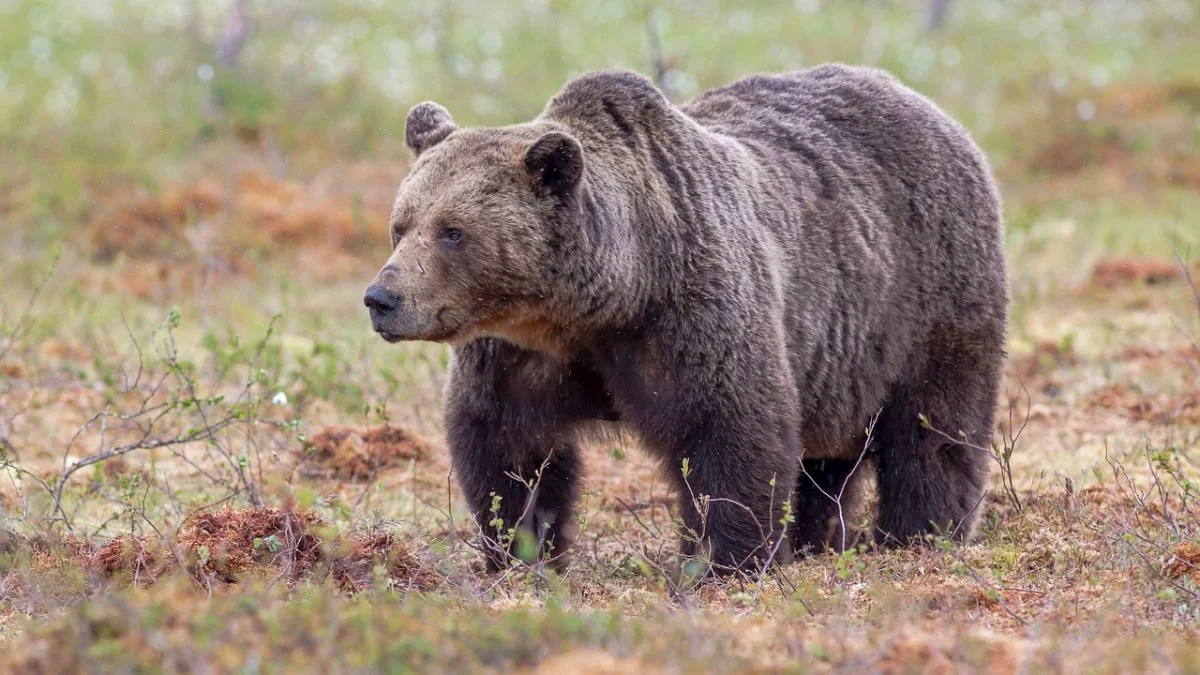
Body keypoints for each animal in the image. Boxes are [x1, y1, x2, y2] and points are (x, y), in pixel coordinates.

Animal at [362, 63, 1003, 571]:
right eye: (401, 224)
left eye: (452, 232)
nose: (381, 298)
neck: (604, 301)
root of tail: (925, 104)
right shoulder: (521, 353)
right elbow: (507, 446)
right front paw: (522, 550)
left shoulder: (689, 311)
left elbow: (730, 430)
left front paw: (727, 559)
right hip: (836, 361)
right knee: (823, 461)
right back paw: (812, 540)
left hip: (928, 292)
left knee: (933, 430)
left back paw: (919, 536)